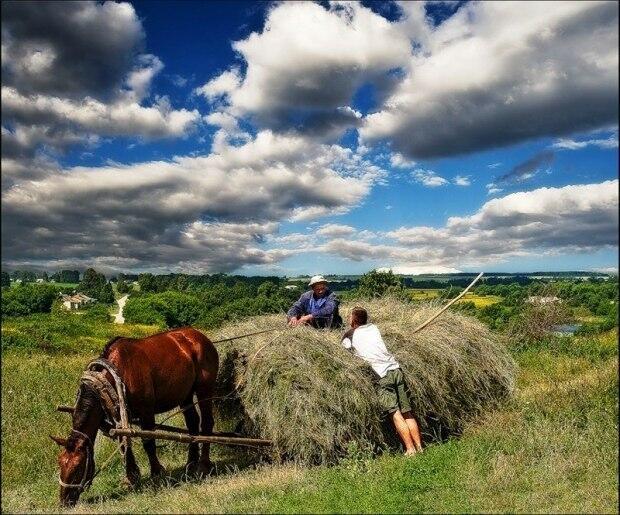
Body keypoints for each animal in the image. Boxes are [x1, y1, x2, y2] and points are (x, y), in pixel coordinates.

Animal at [51, 328, 220, 506]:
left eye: (78, 467)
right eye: (60, 463)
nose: (64, 501)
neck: (118, 372)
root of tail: (199, 336)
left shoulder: (147, 411)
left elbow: (148, 443)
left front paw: (156, 472)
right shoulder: (118, 415)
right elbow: (124, 442)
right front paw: (131, 477)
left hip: (205, 389)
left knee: (206, 423)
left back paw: (203, 465)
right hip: (185, 395)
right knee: (192, 423)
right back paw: (191, 463)